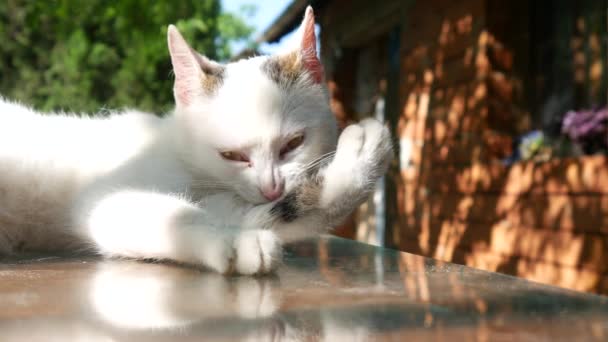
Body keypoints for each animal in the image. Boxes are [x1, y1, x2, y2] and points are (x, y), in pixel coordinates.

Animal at [0, 7, 392, 276]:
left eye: (293, 144)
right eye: (231, 155)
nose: (271, 187)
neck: (182, 158)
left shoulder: (229, 200)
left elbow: (277, 214)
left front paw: (356, 169)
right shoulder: (102, 197)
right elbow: (174, 217)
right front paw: (231, 242)